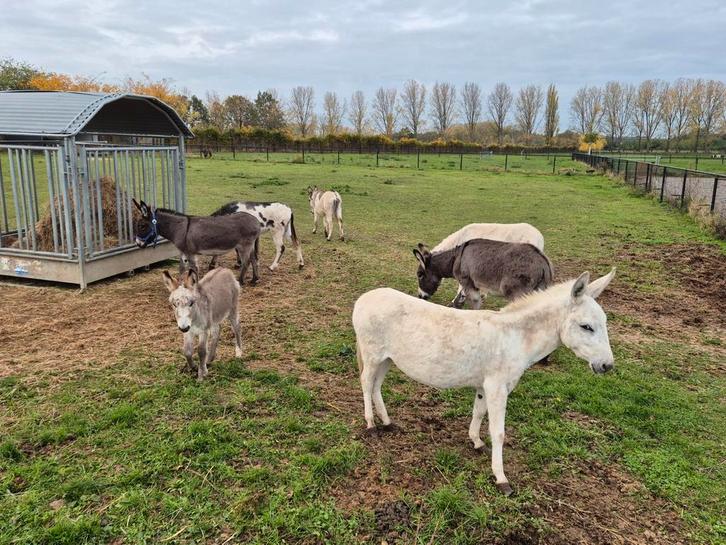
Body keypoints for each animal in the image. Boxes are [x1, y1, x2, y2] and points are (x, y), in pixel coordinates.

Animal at [353, 268, 616, 495]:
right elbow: (498, 432)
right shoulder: (497, 387)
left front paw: (476, 442)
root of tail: (364, 298)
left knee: (376, 386)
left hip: (387, 358)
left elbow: (478, 412)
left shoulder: (484, 386)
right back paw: (371, 425)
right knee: (366, 383)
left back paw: (387, 423)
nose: (607, 366)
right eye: (586, 327)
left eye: (604, 323)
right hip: (373, 355)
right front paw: (501, 478)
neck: (515, 338)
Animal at [413, 240, 554, 309]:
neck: (455, 258)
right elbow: (462, 297)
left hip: (518, 292)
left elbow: (475, 303)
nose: (420, 296)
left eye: (420, 274)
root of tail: (543, 262)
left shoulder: (468, 283)